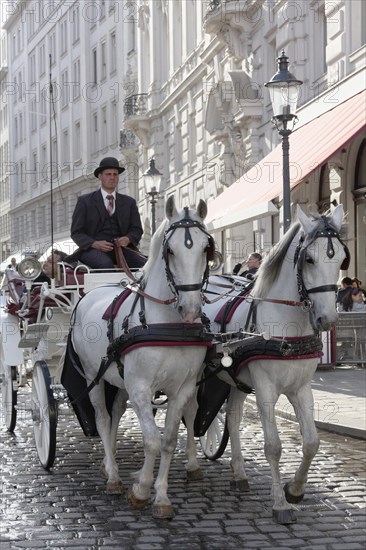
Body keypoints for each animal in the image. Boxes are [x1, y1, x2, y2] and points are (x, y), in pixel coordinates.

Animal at [69, 198, 212, 520]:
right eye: (170, 250)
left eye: (206, 249)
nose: (191, 309)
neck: (168, 325)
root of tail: (89, 293)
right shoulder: (141, 388)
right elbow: (151, 440)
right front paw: (142, 490)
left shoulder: (182, 388)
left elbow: (168, 441)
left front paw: (162, 496)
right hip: (92, 375)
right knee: (101, 417)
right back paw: (112, 474)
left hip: (119, 379)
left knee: (115, 413)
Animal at [193, 207, 348, 528]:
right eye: (309, 259)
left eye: (341, 258)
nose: (326, 319)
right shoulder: (265, 389)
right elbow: (274, 446)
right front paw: (279, 503)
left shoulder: (301, 389)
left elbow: (311, 442)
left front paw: (295, 490)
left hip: (235, 380)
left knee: (233, 419)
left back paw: (239, 474)